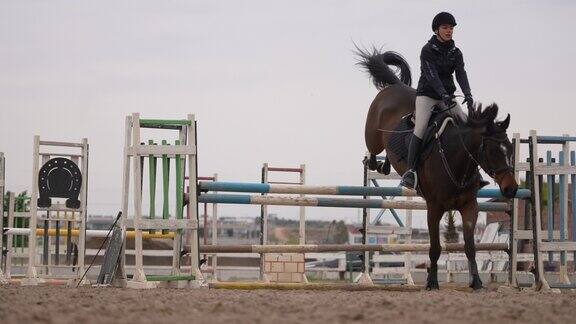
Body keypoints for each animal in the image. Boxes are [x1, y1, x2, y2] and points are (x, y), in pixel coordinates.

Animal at [358, 48, 520, 292]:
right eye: (492, 150)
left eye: (510, 148)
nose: (511, 189)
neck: (456, 160)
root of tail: (395, 86)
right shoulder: (433, 208)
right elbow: (435, 248)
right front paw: (432, 281)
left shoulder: (469, 207)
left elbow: (470, 247)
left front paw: (476, 282)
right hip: (373, 135)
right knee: (373, 150)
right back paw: (377, 164)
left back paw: (385, 166)